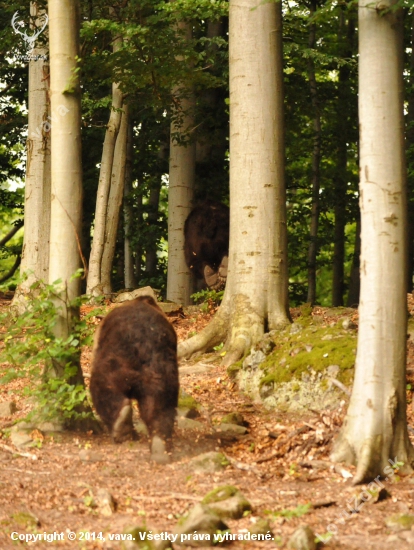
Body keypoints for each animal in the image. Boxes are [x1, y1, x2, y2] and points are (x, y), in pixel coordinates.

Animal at [90, 296, 178, 464]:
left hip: (114, 360)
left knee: (105, 388)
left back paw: (121, 428)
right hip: (161, 371)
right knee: (160, 405)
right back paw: (160, 449)